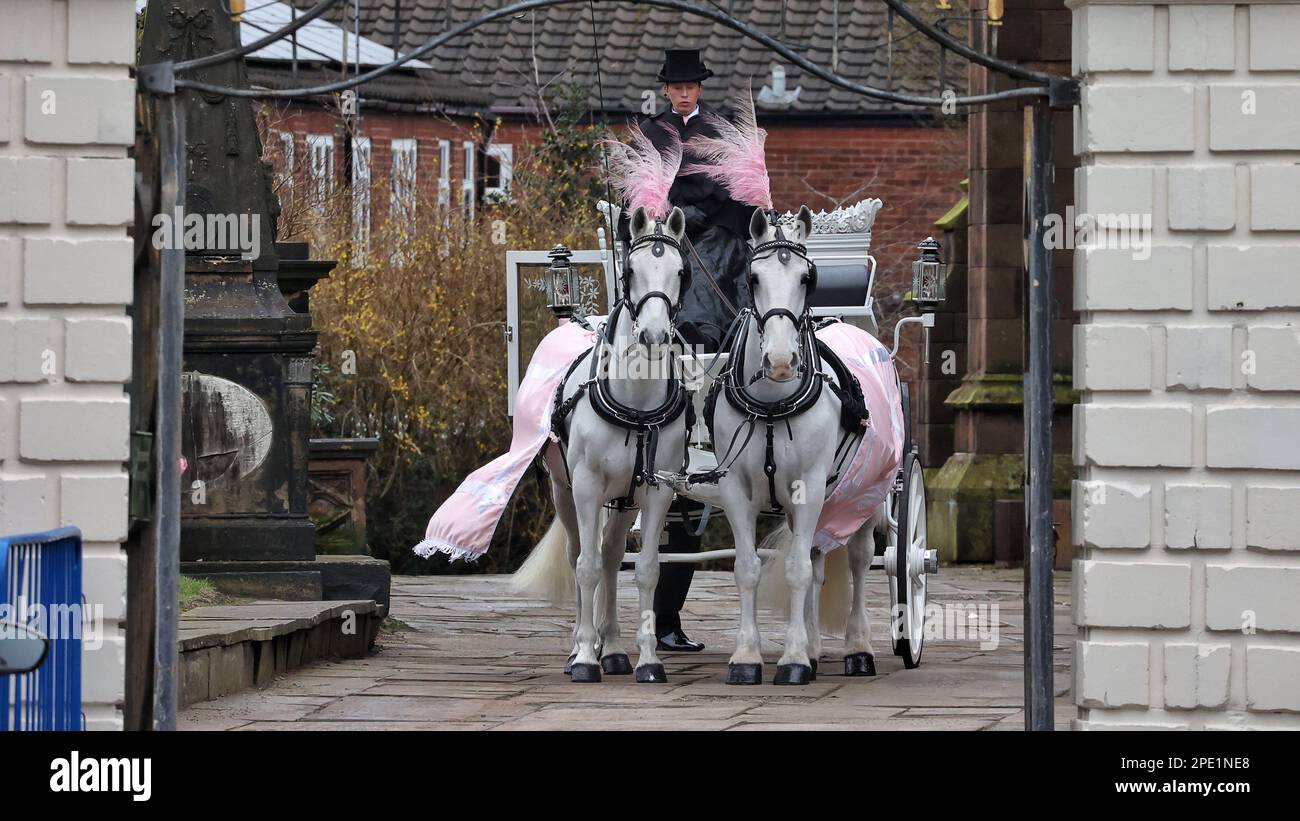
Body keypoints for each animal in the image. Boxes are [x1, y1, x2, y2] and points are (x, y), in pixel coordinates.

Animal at [512, 206, 691, 685]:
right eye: (629, 271)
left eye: (680, 272)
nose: (653, 336)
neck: (637, 401)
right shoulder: (588, 485)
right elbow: (586, 566)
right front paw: (584, 658)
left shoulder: (657, 490)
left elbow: (645, 570)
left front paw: (648, 660)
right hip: (565, 491)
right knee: (582, 555)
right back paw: (583, 646)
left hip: (623, 498)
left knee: (611, 558)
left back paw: (610, 648)